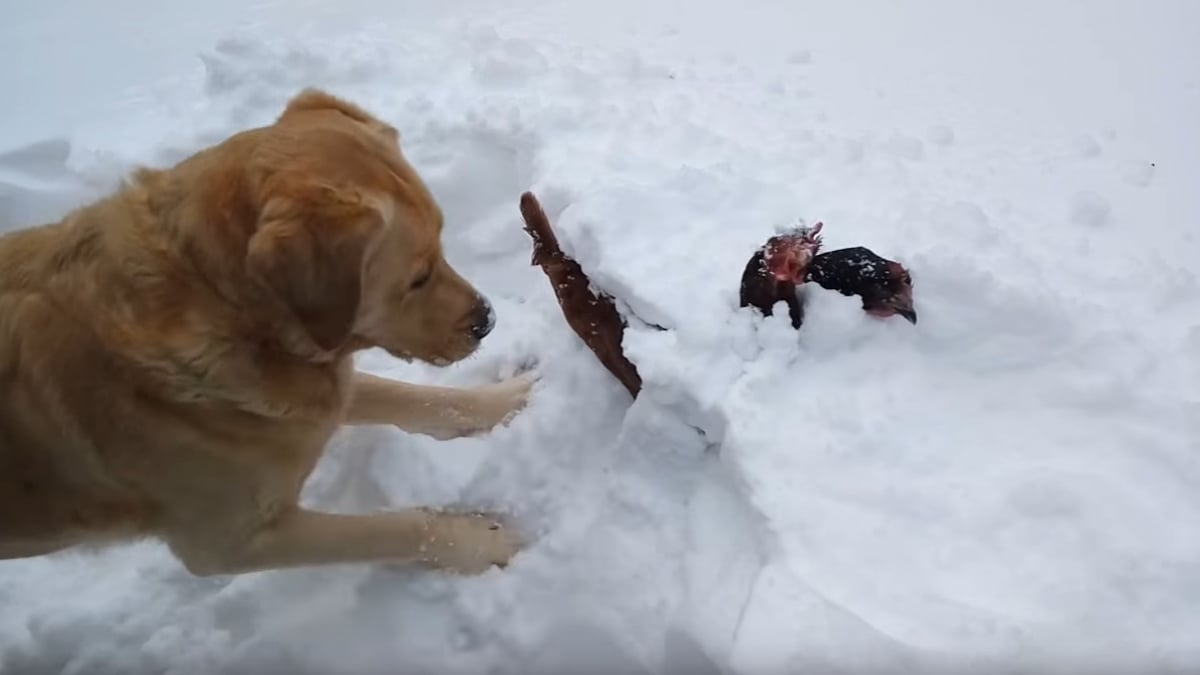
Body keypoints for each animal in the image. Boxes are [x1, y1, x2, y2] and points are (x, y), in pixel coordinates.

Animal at [0, 88, 535, 571]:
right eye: (417, 278)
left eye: (443, 241)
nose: (486, 320)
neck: (220, 301)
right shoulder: (234, 542)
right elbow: (399, 527)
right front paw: (484, 540)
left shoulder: (313, 392)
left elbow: (419, 398)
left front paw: (511, 399)